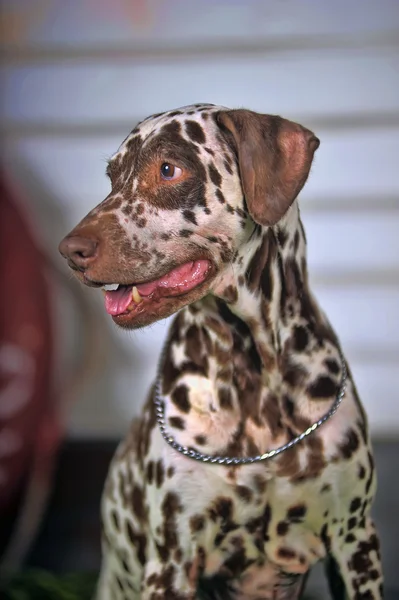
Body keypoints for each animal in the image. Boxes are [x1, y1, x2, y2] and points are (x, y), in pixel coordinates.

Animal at [59, 106, 384, 600]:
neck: (256, 376)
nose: (69, 251)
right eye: (112, 176)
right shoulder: (172, 560)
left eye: (168, 169)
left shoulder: (356, 543)